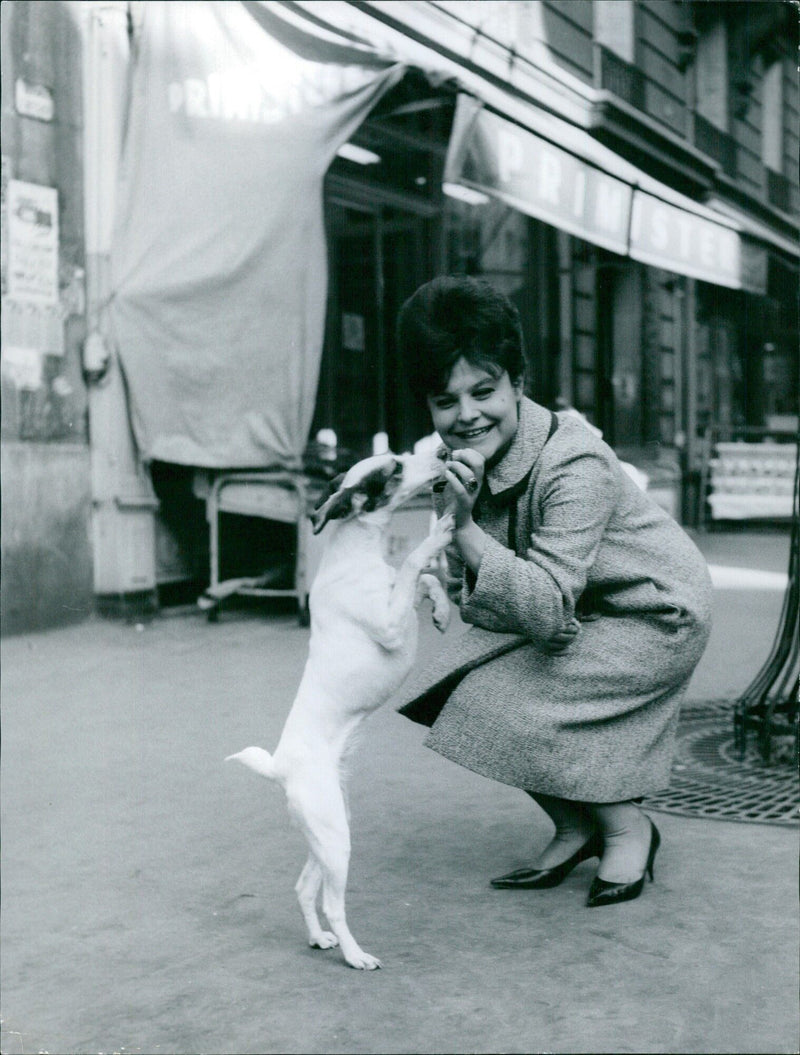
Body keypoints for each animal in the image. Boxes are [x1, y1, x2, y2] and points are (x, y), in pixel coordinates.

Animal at [229, 449, 453, 966]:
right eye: (395, 468)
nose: (442, 452)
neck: (358, 555)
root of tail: (279, 768)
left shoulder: (398, 602)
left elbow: (424, 579)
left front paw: (443, 609)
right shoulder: (390, 625)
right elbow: (415, 563)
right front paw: (436, 535)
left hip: (329, 832)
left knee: (303, 888)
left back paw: (319, 938)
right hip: (334, 838)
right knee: (333, 904)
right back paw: (354, 954)